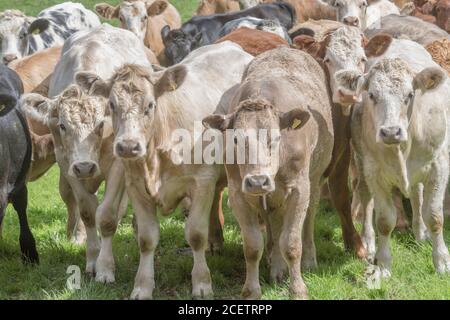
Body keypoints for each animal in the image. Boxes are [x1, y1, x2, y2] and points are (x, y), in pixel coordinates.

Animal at [75, 41, 255, 298]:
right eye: (111, 104)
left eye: (150, 105)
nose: (128, 146)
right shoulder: (136, 186)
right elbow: (147, 238)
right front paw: (142, 286)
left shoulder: (202, 181)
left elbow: (195, 234)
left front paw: (202, 283)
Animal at [204, 46, 334, 298]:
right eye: (236, 139)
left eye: (275, 137)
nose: (257, 181)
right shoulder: (238, 193)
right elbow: (253, 246)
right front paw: (251, 290)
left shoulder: (298, 190)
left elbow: (292, 243)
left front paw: (298, 289)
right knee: (273, 223)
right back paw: (275, 264)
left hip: (314, 180)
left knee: (308, 220)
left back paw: (307, 259)